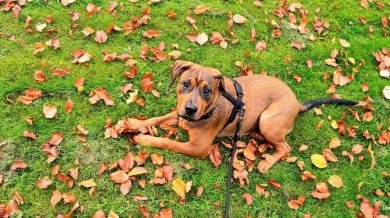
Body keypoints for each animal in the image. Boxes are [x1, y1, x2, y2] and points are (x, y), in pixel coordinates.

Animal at [130, 60, 356, 173]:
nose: (191, 109)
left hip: (268, 120)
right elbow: (157, 119)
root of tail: (296, 102)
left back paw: (267, 162)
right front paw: (133, 122)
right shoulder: (178, 115)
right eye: (186, 83)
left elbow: (168, 142)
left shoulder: (198, 148)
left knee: (285, 147)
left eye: (207, 90)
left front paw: (144, 138)